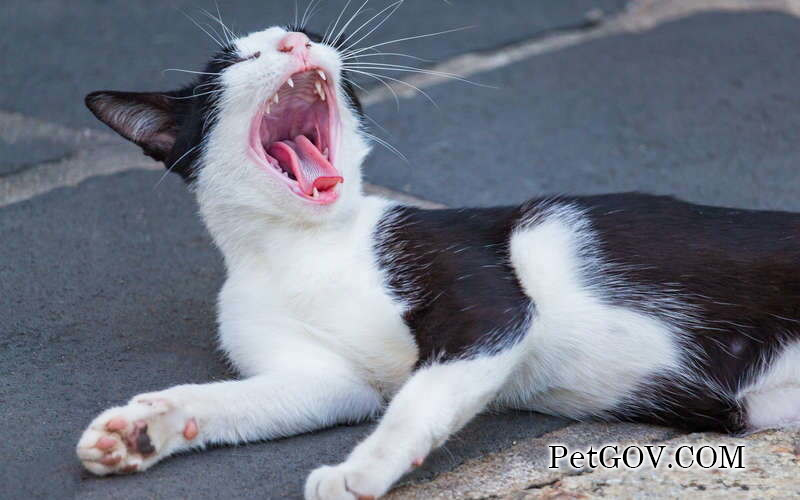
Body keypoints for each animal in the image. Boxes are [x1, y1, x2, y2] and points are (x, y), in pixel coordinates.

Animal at [75, 21, 800, 498]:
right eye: (236, 59)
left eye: (307, 32)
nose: (296, 44)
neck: (307, 246)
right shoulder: (326, 380)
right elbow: (241, 400)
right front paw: (143, 429)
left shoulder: (488, 303)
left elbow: (417, 398)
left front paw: (359, 472)